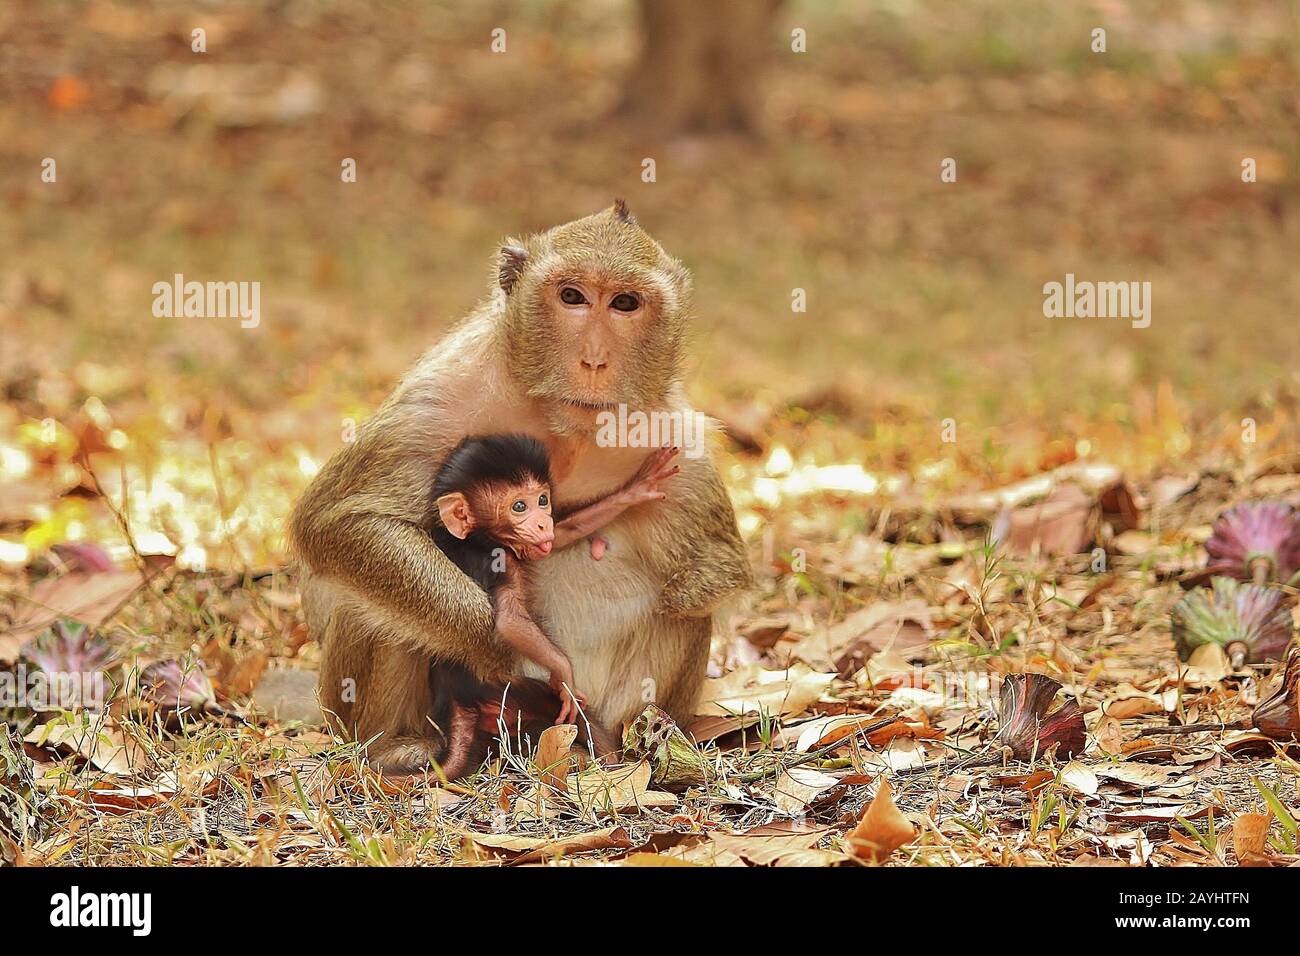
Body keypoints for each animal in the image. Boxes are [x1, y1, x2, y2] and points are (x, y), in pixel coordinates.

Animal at [434, 434, 681, 723]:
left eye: (543, 500)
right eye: (519, 506)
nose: (543, 523)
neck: (478, 537)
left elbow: (563, 532)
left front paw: (636, 488)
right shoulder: (501, 560)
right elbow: (511, 619)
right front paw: (564, 677)